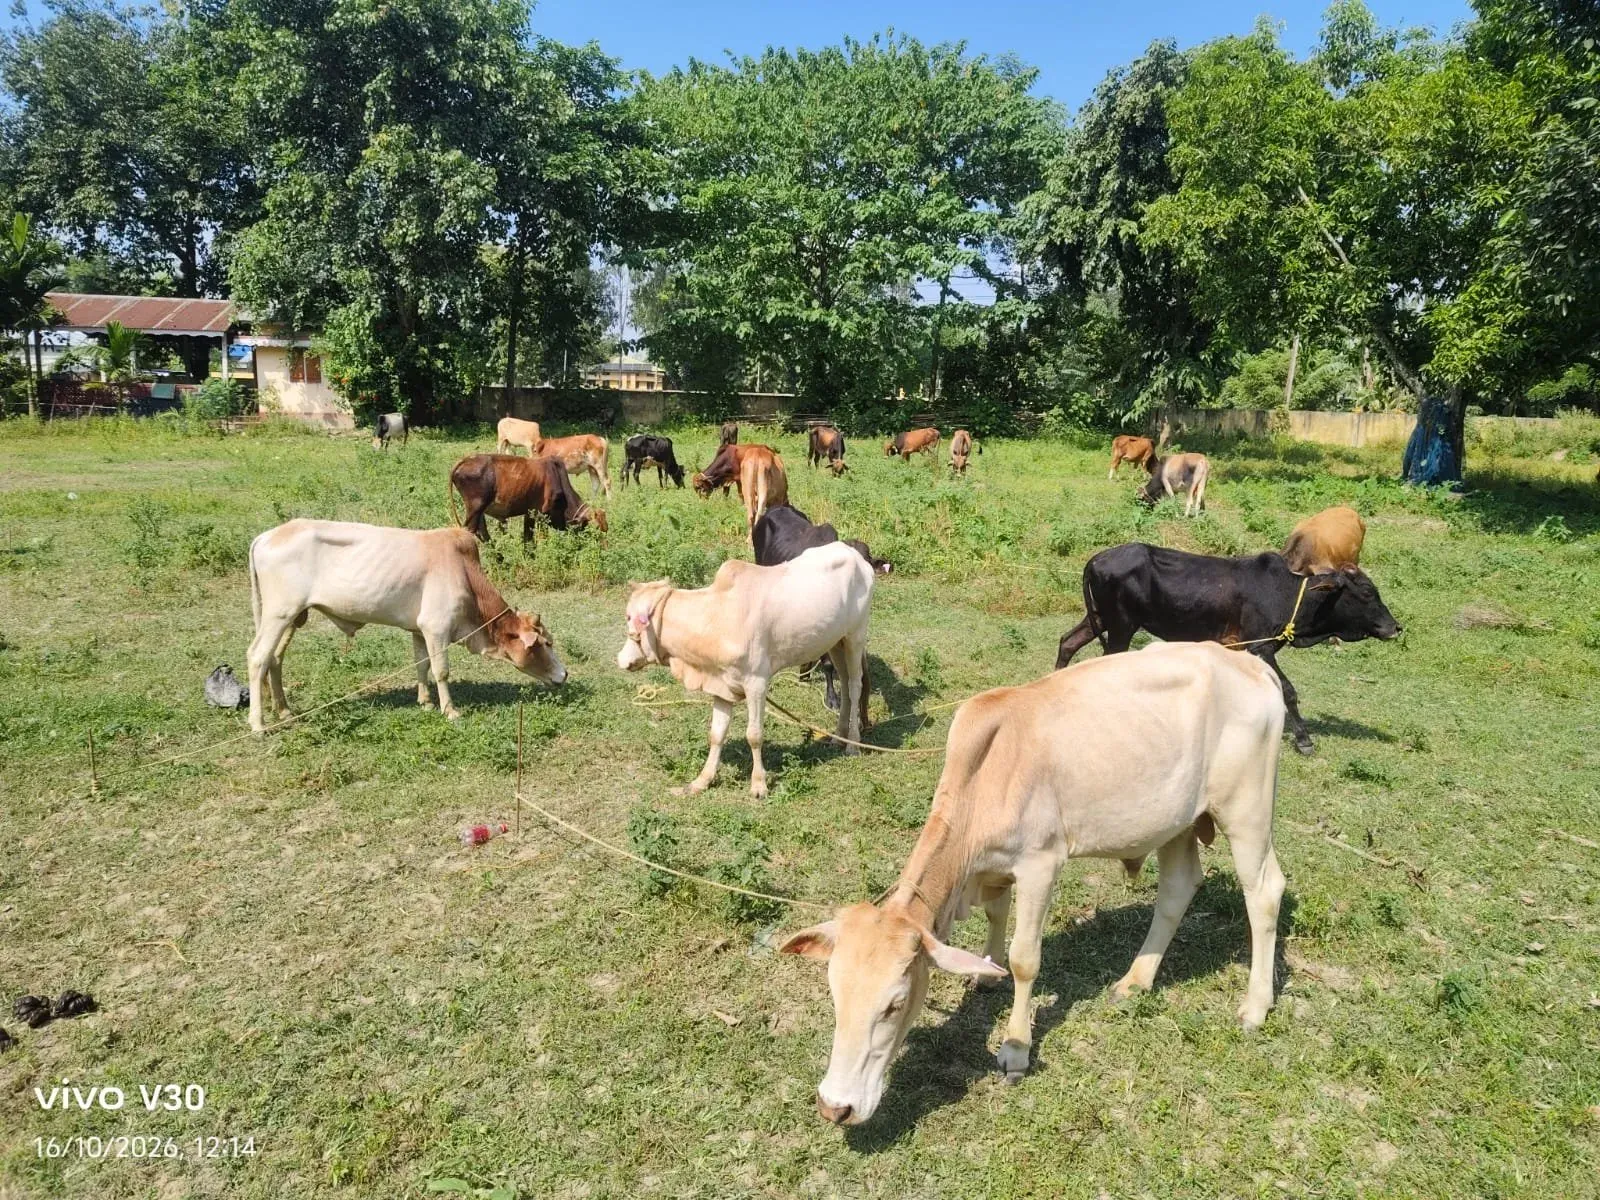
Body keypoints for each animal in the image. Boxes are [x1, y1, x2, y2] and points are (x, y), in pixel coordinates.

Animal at [246, 520, 566, 732]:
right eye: (546, 643)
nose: (564, 674)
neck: (465, 573)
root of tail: (266, 536)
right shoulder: (436, 627)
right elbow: (441, 670)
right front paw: (450, 710)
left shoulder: (419, 630)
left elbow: (421, 664)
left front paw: (425, 702)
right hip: (279, 614)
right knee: (258, 657)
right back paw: (258, 724)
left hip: (292, 617)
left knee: (275, 659)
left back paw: (285, 711)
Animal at [448, 454, 607, 541]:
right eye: (590, 527)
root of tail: (466, 460)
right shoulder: (542, 514)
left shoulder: (529, 513)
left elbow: (527, 539)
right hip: (475, 508)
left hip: (478, 511)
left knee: (483, 533)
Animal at [615, 542, 875, 799]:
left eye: (629, 617)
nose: (621, 660)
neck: (715, 618)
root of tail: (855, 555)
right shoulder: (720, 685)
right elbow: (716, 734)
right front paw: (702, 780)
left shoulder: (757, 683)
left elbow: (754, 735)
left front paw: (759, 785)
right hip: (835, 642)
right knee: (844, 683)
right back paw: (838, 737)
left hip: (855, 636)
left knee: (855, 686)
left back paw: (853, 744)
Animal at [780, 641, 1287, 1124]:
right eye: (834, 994)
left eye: (893, 1004)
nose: (835, 1107)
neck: (987, 773)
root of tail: (1249, 665)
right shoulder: (995, 869)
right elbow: (996, 914)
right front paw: (985, 970)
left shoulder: (1041, 863)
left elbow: (1025, 960)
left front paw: (1016, 1047)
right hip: (1176, 822)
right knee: (1178, 888)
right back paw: (1136, 980)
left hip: (1246, 810)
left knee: (1264, 891)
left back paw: (1255, 1006)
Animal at [1053, 542, 1402, 754]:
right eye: (1367, 592)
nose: (1395, 627)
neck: (1289, 595)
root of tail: (1096, 559)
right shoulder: (1260, 647)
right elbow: (1288, 691)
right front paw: (1304, 740)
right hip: (1121, 625)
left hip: (1100, 618)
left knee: (1067, 642)